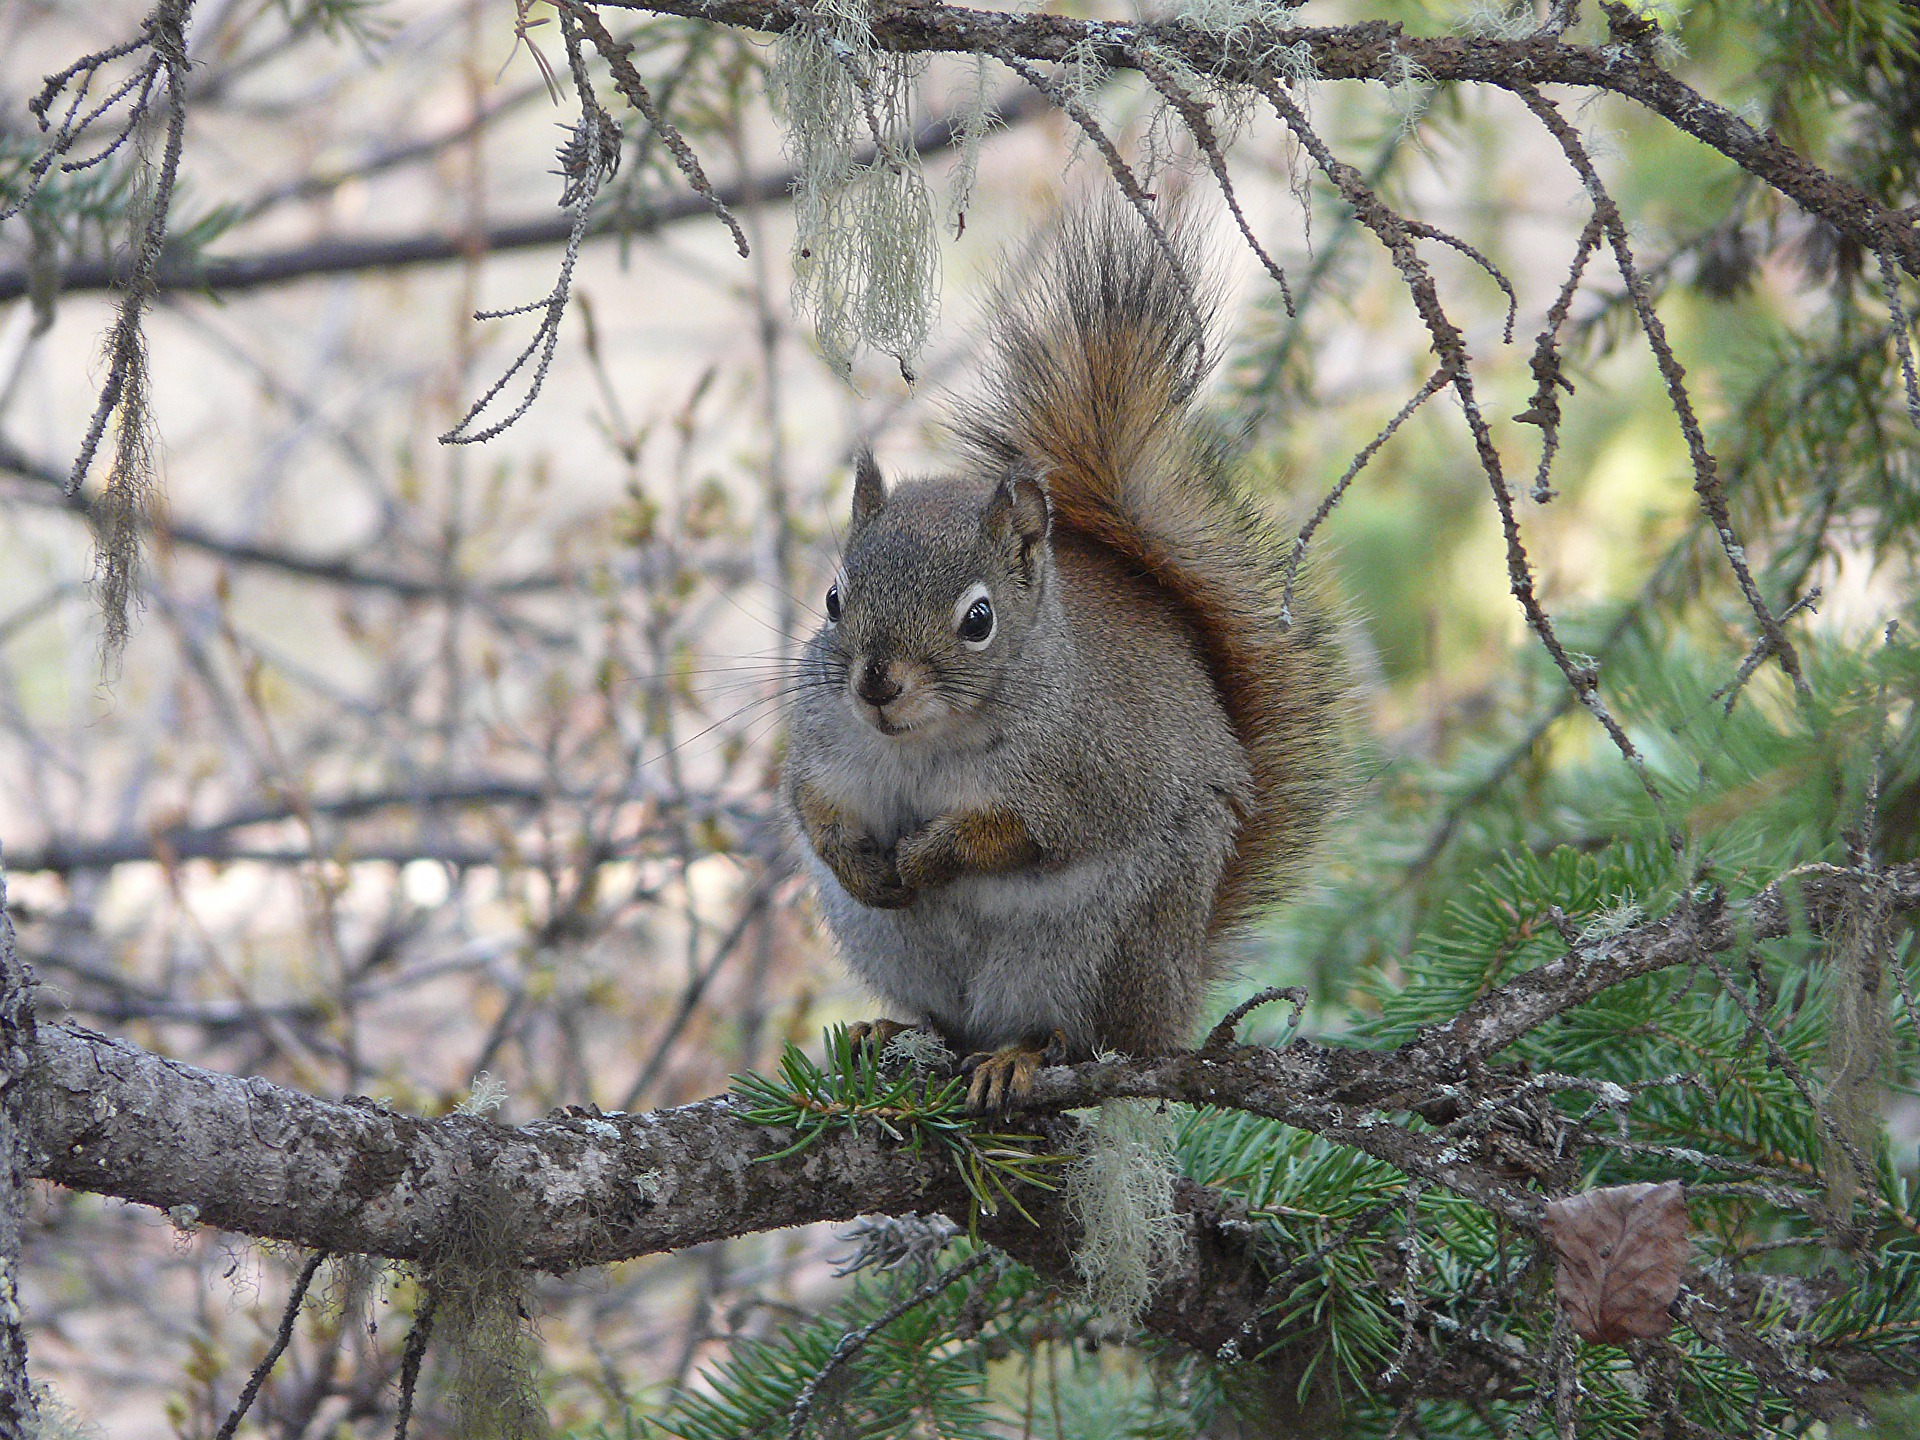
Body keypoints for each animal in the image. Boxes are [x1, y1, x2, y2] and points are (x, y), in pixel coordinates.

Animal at [782, 205, 1345, 1108]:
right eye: (834, 599)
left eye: (979, 620)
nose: (876, 686)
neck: (924, 745)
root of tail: (1178, 997)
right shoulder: (822, 741)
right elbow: (813, 806)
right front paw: (858, 859)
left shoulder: (1094, 770)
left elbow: (1025, 835)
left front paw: (933, 854)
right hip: (889, 946)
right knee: (943, 1024)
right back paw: (886, 1031)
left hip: (1103, 949)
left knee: (1080, 1038)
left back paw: (1020, 1057)